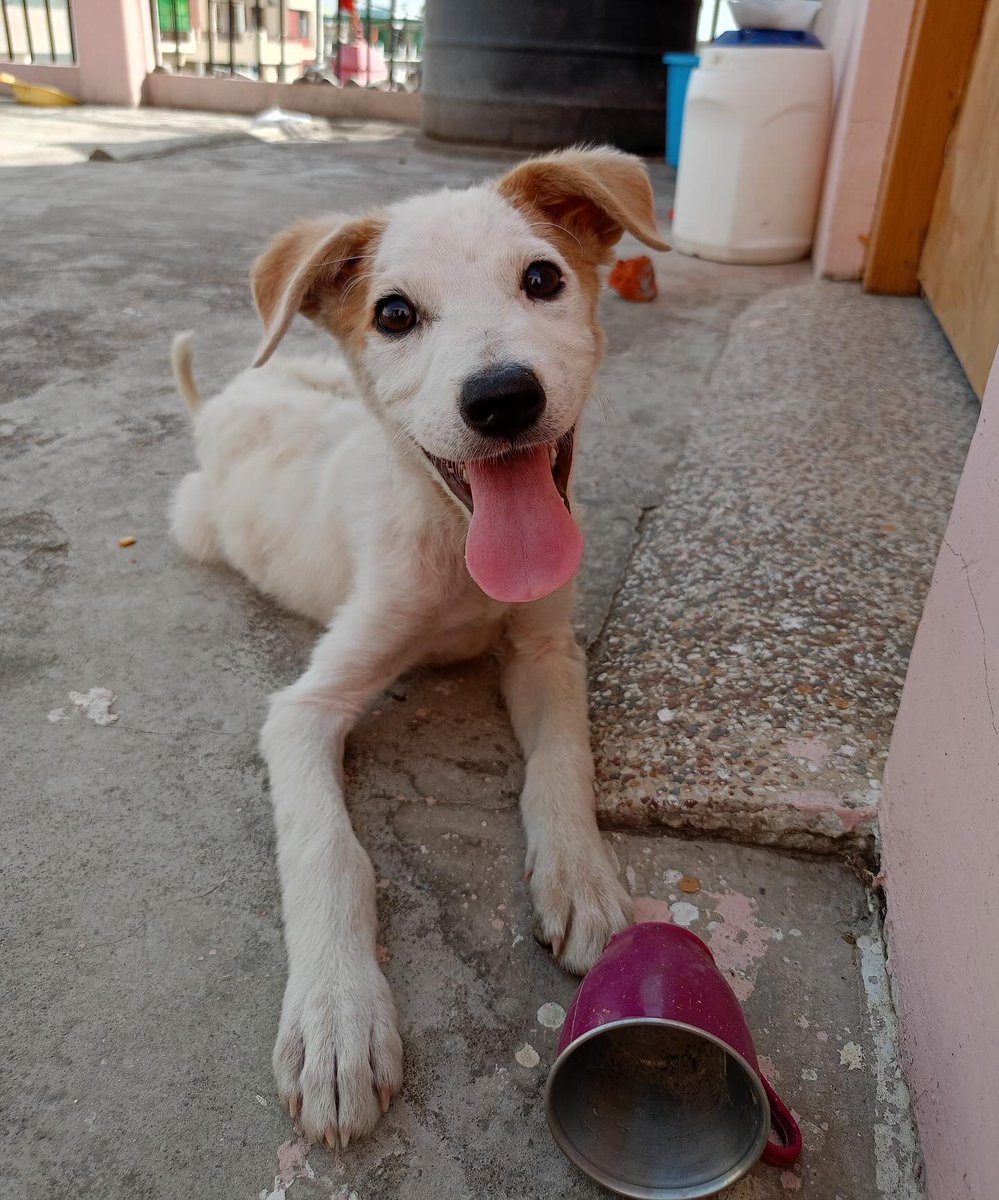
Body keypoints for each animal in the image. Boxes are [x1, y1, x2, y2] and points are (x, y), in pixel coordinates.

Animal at [170, 145, 667, 1147]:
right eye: (394, 313)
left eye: (542, 279)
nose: (502, 398)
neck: (458, 548)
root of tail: (229, 395)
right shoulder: (305, 708)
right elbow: (326, 848)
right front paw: (336, 1017)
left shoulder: (546, 651)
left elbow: (563, 759)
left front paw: (580, 874)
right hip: (194, 520)